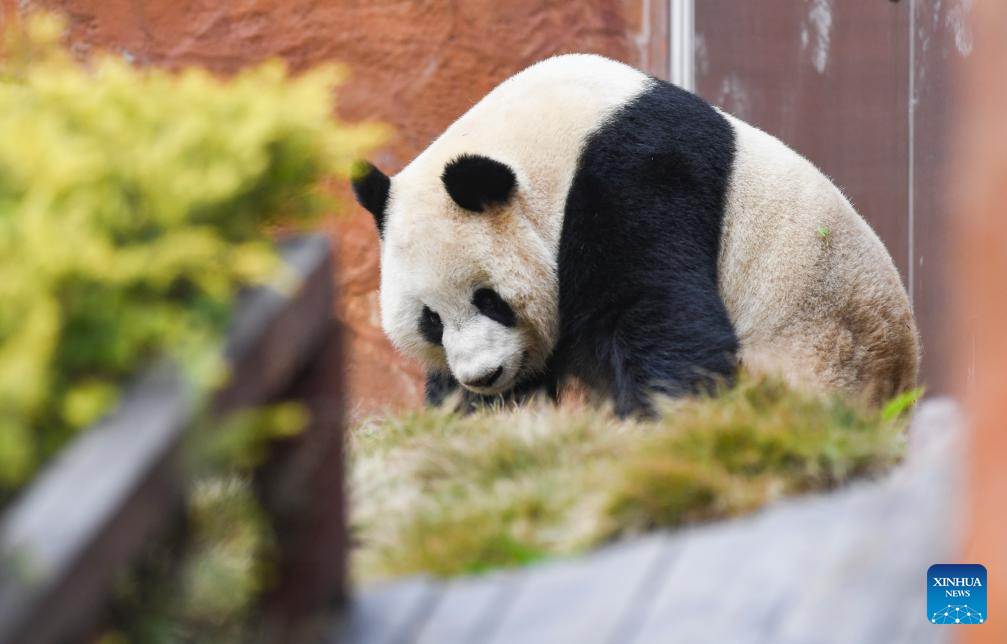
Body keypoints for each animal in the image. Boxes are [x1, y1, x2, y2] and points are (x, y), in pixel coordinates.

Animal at [354, 55, 922, 418]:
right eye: (430, 320)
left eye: (490, 299)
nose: (483, 376)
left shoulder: (637, 174)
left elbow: (654, 308)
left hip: (822, 349)